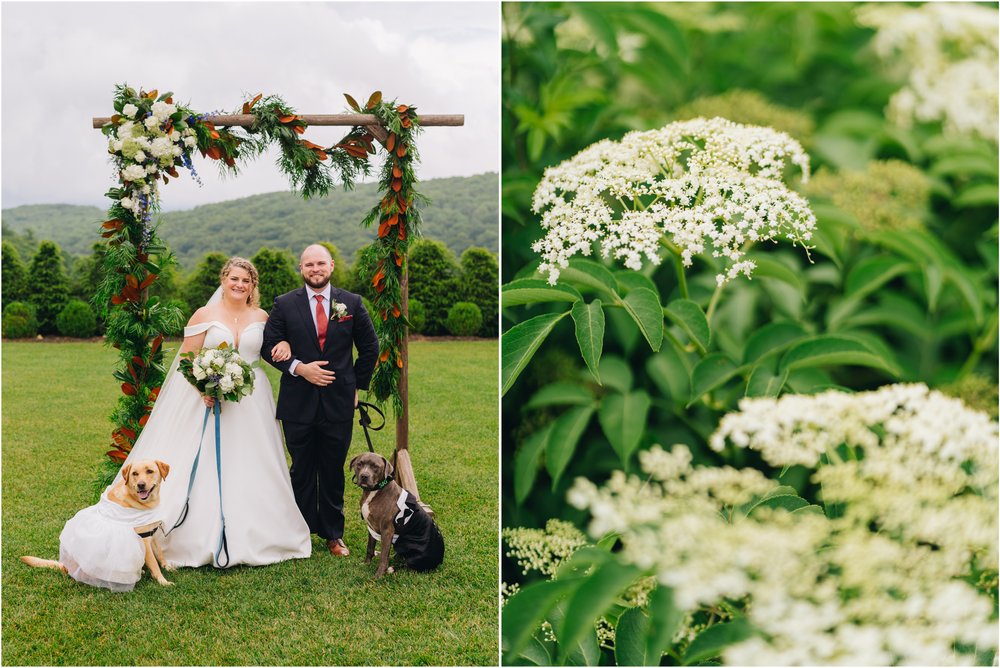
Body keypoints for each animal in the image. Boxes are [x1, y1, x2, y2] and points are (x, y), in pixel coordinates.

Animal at [22, 460, 174, 588]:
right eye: (134, 474)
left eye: (150, 471)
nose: (141, 485)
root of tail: (65, 566)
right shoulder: (143, 539)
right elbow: (154, 563)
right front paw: (163, 581)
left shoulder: (152, 533)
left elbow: (160, 553)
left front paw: (167, 567)